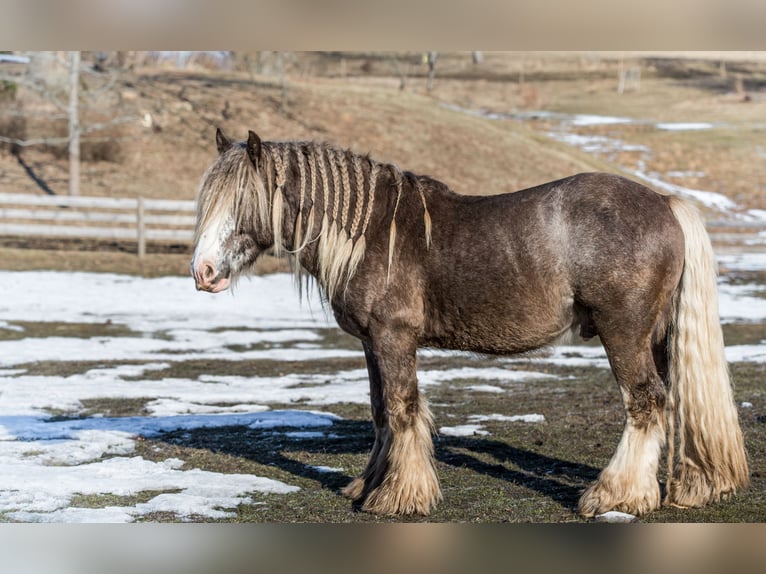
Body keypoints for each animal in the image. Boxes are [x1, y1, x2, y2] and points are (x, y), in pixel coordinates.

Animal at [192, 128, 752, 520]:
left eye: (243, 200)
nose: (204, 272)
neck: (372, 232)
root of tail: (664, 202)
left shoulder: (394, 339)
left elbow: (402, 410)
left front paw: (399, 497)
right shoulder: (373, 344)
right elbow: (380, 412)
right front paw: (368, 485)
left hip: (625, 334)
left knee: (645, 402)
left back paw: (615, 495)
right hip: (657, 336)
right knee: (669, 400)